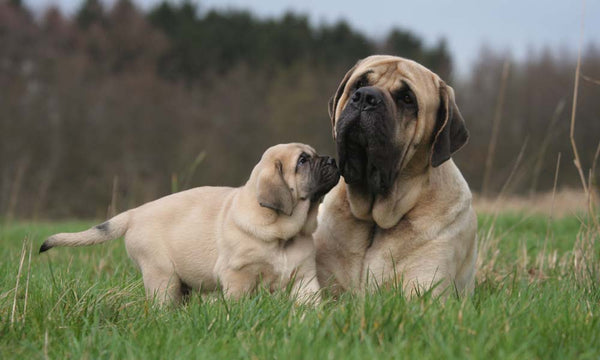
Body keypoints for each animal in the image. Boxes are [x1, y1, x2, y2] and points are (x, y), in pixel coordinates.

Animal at [40, 143, 340, 304]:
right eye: (303, 160)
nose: (333, 159)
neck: (283, 234)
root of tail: (135, 212)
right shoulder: (238, 277)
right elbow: (240, 304)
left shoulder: (303, 278)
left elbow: (311, 304)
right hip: (162, 277)